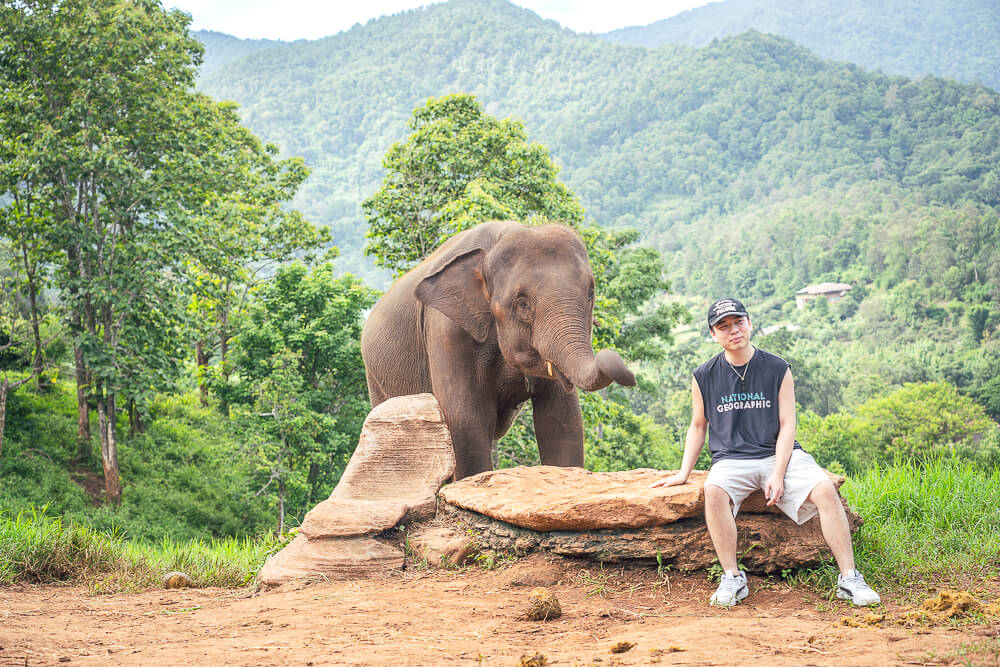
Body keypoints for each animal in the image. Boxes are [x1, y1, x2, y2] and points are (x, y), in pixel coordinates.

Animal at [361, 220, 636, 480]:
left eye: (590, 294)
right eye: (523, 304)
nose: (632, 376)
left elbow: (561, 420)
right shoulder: (446, 330)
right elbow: (465, 418)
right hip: (376, 381)